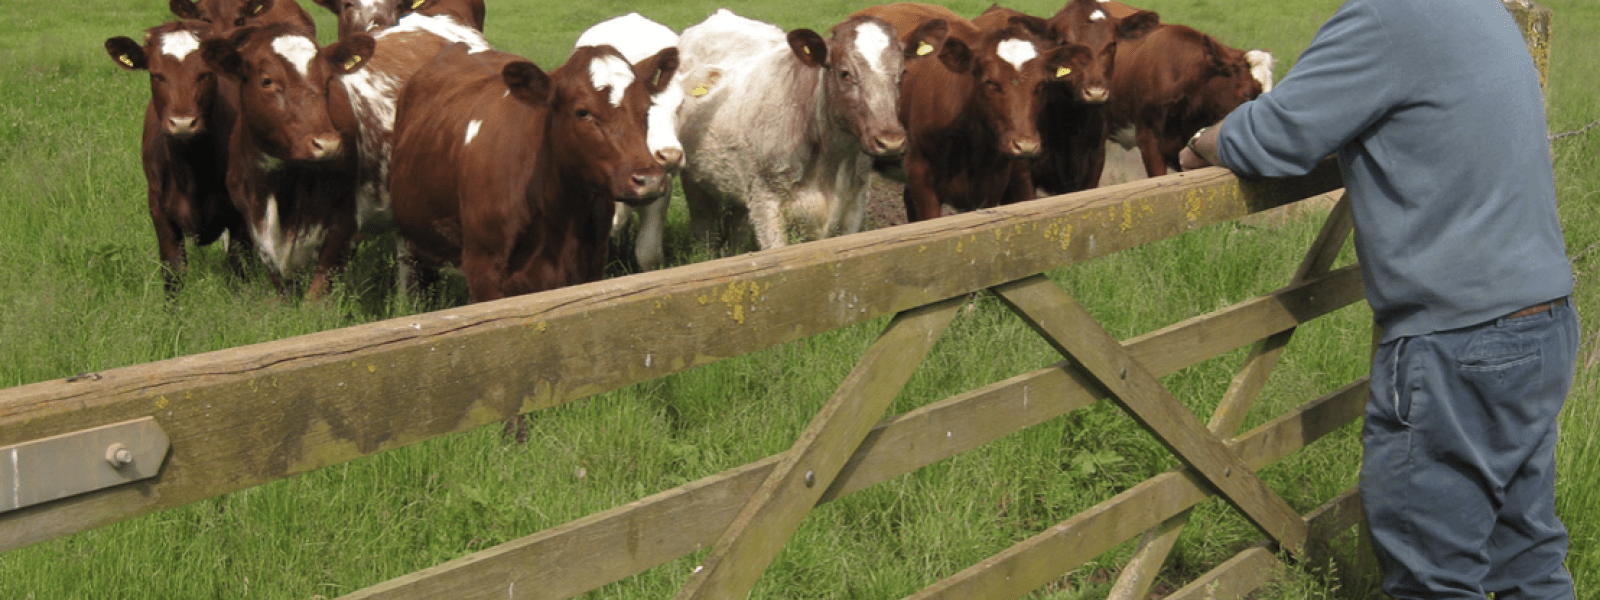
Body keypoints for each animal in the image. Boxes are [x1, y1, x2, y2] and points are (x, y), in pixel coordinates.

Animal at [106, 19, 251, 293]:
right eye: (156, 75)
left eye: (206, 73)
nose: (183, 123)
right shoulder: (158, 207)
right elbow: (173, 271)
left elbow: (238, 268)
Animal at [201, 23, 376, 298]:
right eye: (267, 81)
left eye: (328, 79)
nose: (327, 143)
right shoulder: (257, 230)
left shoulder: (344, 225)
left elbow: (316, 296)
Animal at [675, 9, 948, 251]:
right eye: (845, 73)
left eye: (902, 73)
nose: (890, 141)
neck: (831, 160)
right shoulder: (766, 202)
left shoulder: (855, 204)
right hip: (695, 182)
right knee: (704, 229)